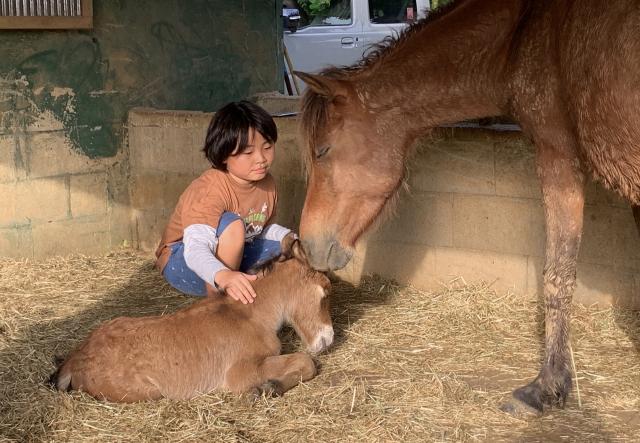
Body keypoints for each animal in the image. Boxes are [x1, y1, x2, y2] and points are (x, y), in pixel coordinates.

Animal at [48, 241, 336, 404]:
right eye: (326, 292)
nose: (329, 339)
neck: (252, 315)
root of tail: (76, 359)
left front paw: (272, 387)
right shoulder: (241, 372)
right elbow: (307, 362)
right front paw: (267, 389)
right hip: (149, 392)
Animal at [298, 0, 640, 416]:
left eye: (322, 151)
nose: (308, 245)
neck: (524, 32)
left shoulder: (557, 156)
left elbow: (558, 275)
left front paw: (546, 387)